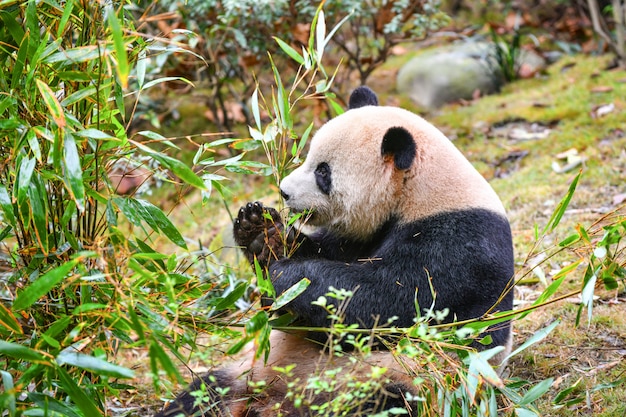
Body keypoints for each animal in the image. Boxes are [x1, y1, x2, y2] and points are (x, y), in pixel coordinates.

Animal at [154, 86, 516, 414]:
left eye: (323, 172)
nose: (284, 191)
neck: (419, 191)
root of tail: (273, 402)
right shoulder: (359, 235)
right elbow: (318, 265)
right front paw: (261, 232)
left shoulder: (459, 244)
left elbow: (388, 304)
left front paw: (287, 275)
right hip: (250, 372)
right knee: (204, 394)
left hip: (410, 378)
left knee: (388, 399)